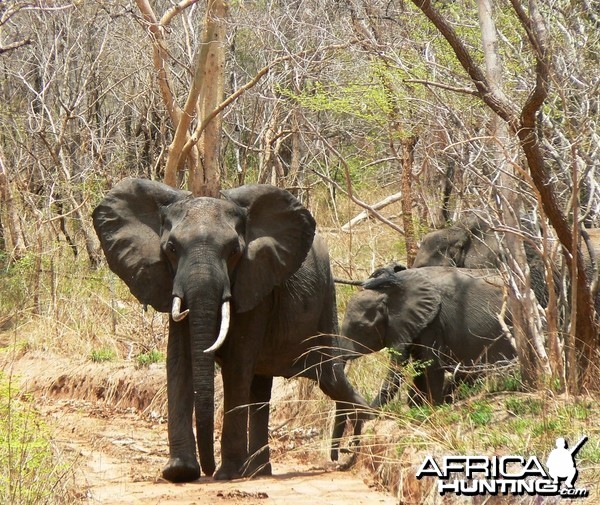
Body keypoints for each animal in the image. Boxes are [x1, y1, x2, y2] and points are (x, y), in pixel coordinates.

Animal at [92, 177, 370, 480]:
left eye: (235, 251)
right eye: (171, 249)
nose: (208, 468)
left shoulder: (256, 280)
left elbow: (237, 363)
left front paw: (227, 474)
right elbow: (179, 359)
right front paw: (180, 472)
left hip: (326, 299)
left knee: (328, 375)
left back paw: (357, 439)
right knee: (262, 388)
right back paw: (259, 472)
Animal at [340, 268, 516, 406]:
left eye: (360, 327)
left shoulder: (434, 322)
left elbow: (430, 365)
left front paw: (433, 408)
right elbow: (419, 365)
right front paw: (418, 407)